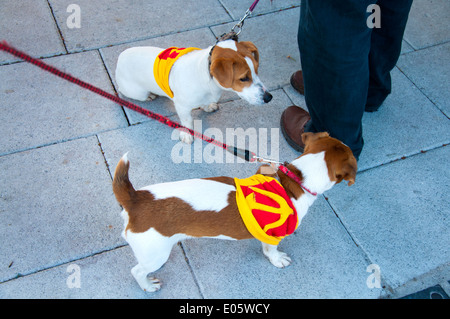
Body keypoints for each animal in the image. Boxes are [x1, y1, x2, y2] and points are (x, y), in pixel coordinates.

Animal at [113, 132, 358, 292]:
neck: (296, 180)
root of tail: (135, 199)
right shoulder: (273, 235)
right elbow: (271, 251)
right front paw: (277, 259)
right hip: (155, 253)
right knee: (137, 271)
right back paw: (147, 285)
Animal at [114, 39, 272, 144]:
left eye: (256, 70)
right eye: (243, 78)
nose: (269, 97)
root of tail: (120, 58)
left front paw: (207, 106)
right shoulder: (182, 106)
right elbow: (187, 121)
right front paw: (187, 134)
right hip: (137, 93)